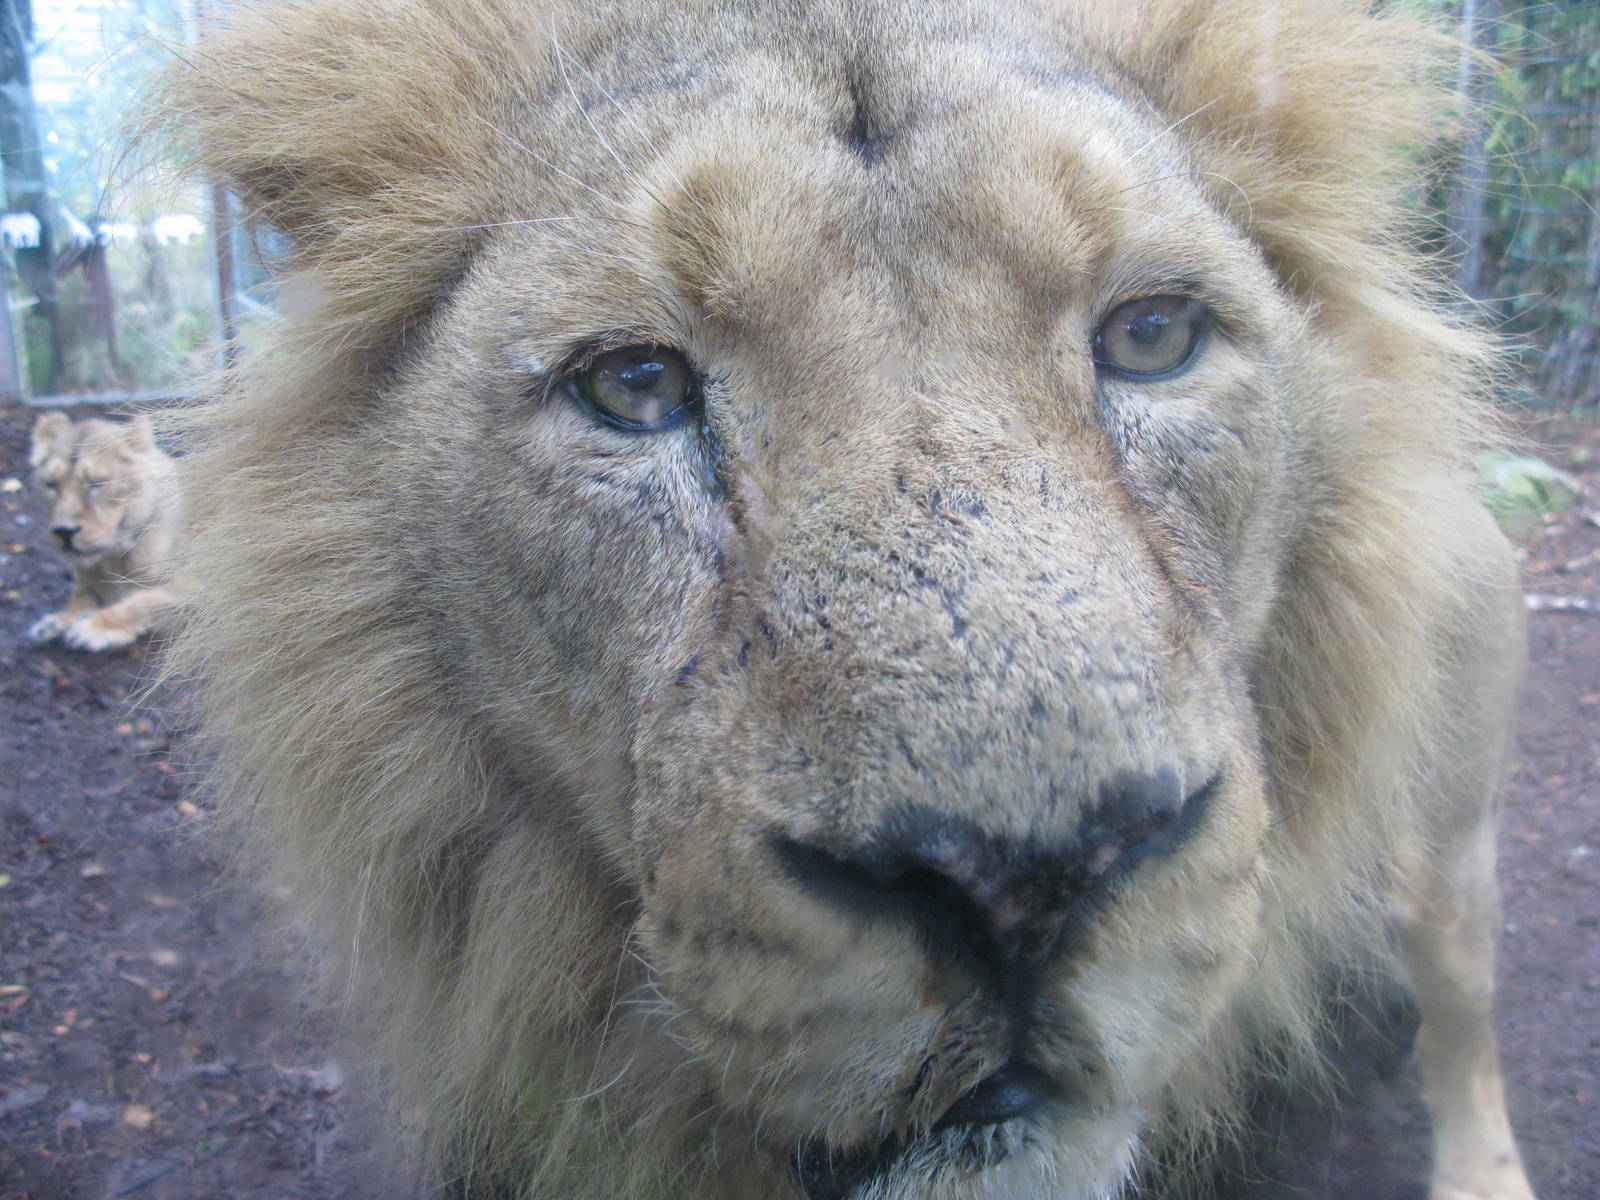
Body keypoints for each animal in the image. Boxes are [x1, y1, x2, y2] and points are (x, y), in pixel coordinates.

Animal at [28, 412, 186, 652]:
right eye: (51, 484)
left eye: (96, 483)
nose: (64, 532)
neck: (113, 559)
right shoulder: (87, 577)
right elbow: (81, 595)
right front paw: (57, 622)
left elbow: (145, 601)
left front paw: (95, 627)